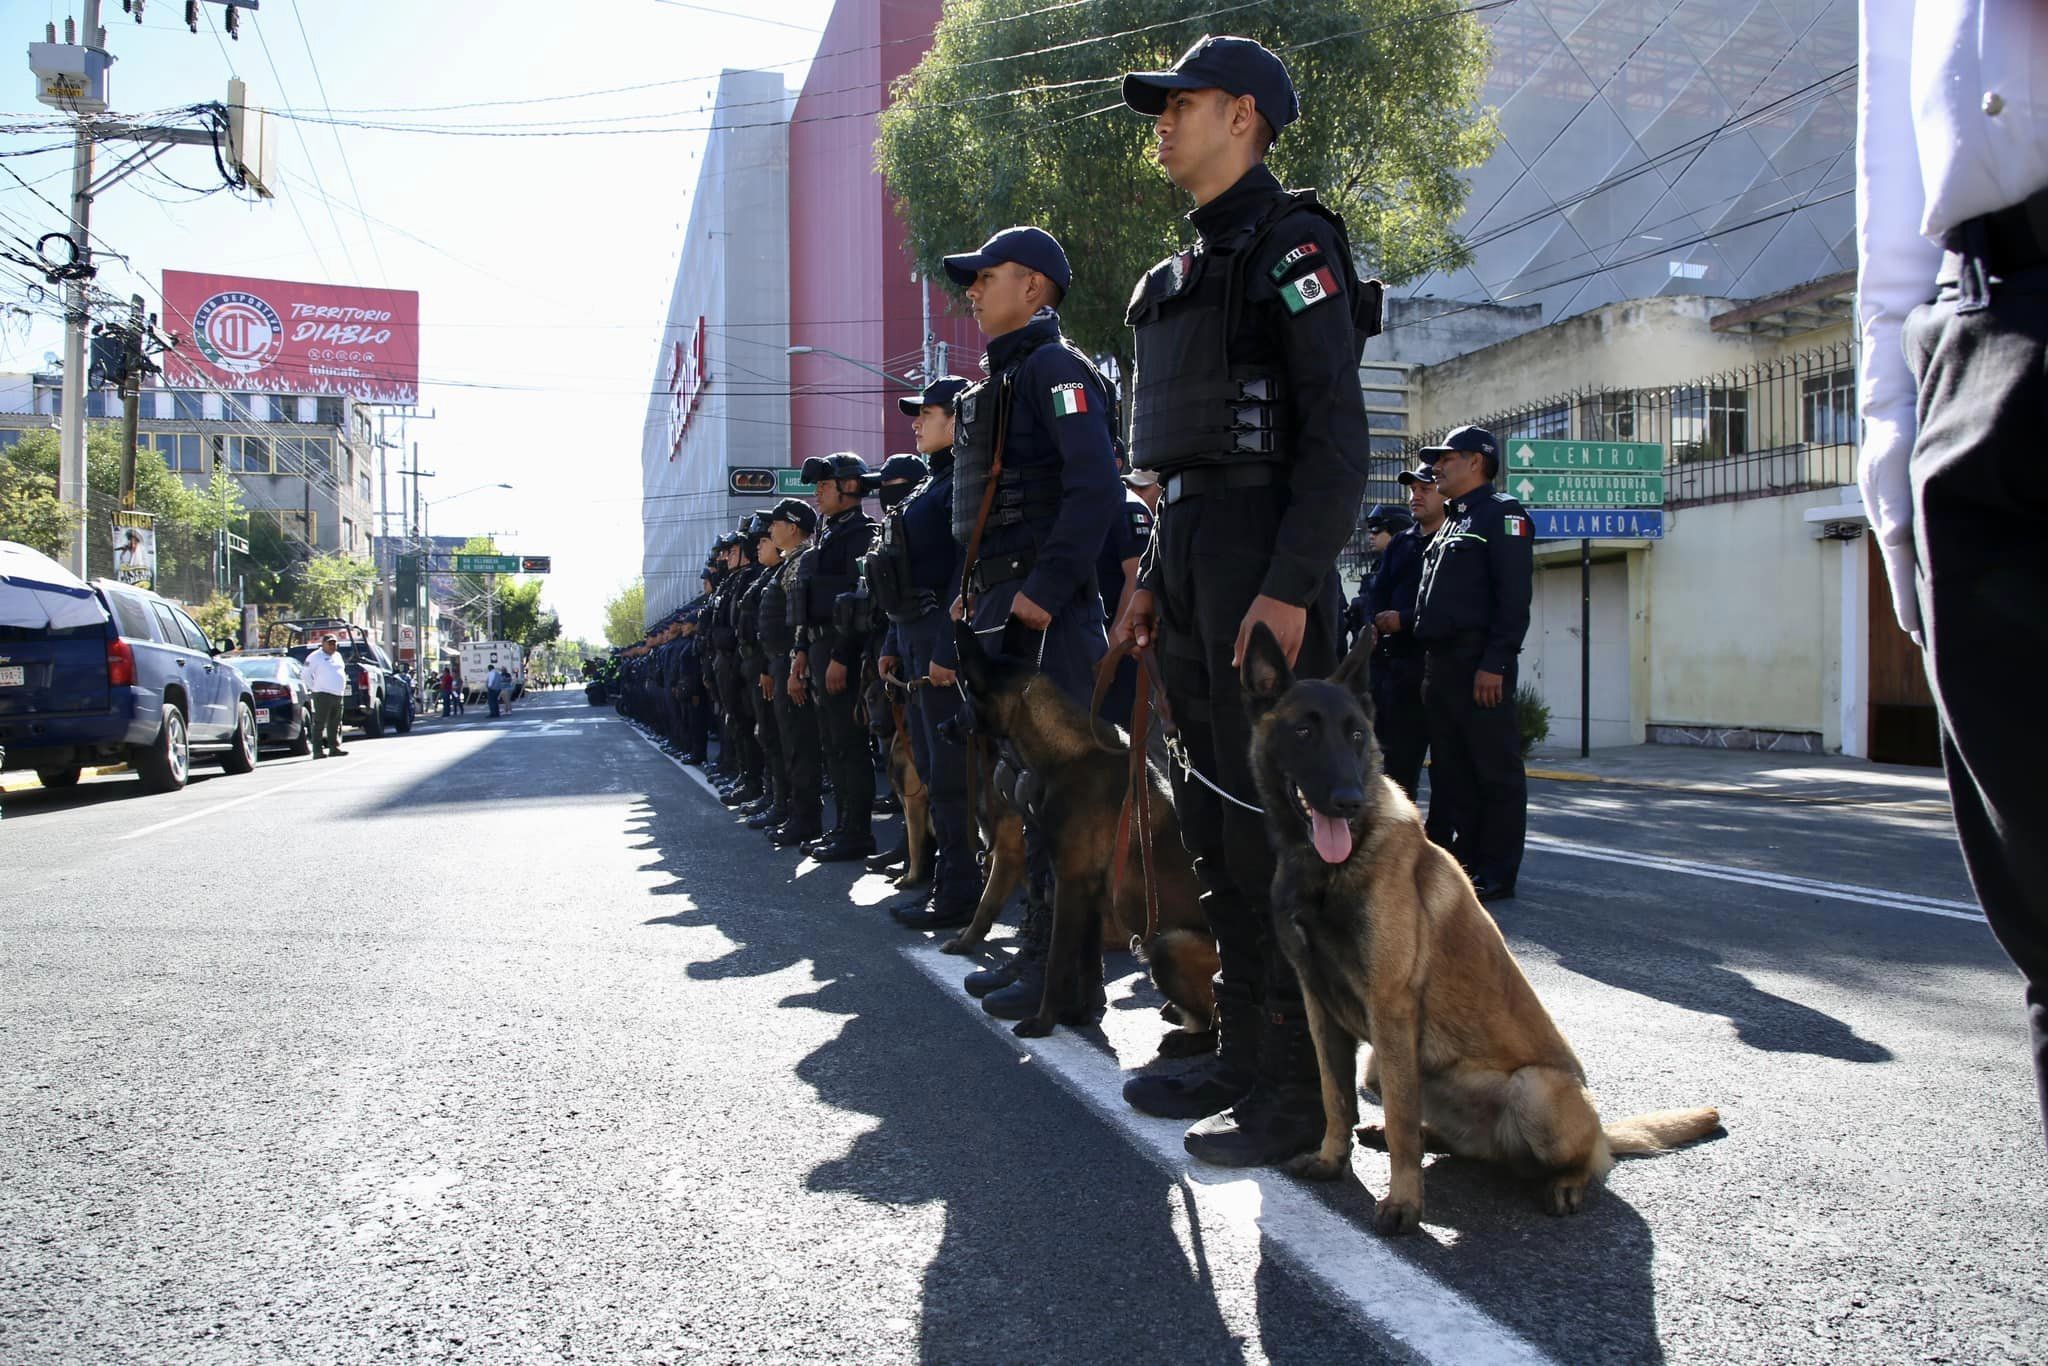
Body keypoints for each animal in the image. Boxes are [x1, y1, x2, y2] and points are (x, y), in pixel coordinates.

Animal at [946, 626, 1212, 1040]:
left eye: (964, 700)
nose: (942, 727)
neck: (1066, 752)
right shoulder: (1093, 893)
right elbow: (1086, 964)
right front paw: (1079, 1014)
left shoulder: (1069, 883)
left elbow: (1058, 962)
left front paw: (1042, 1022)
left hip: (1169, 944)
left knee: (1211, 1020)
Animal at [1236, 626, 1720, 1236]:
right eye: (1304, 731)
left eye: (1357, 736)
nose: (1348, 801)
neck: (1329, 869)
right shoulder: (1319, 1006)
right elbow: (1335, 1096)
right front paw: (1331, 1160)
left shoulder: (1390, 1008)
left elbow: (1399, 1121)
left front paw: (1404, 1205)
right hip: (1390, 1069)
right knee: (1436, 1130)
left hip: (1534, 1091)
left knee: (1591, 1161)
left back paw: (1565, 1182)